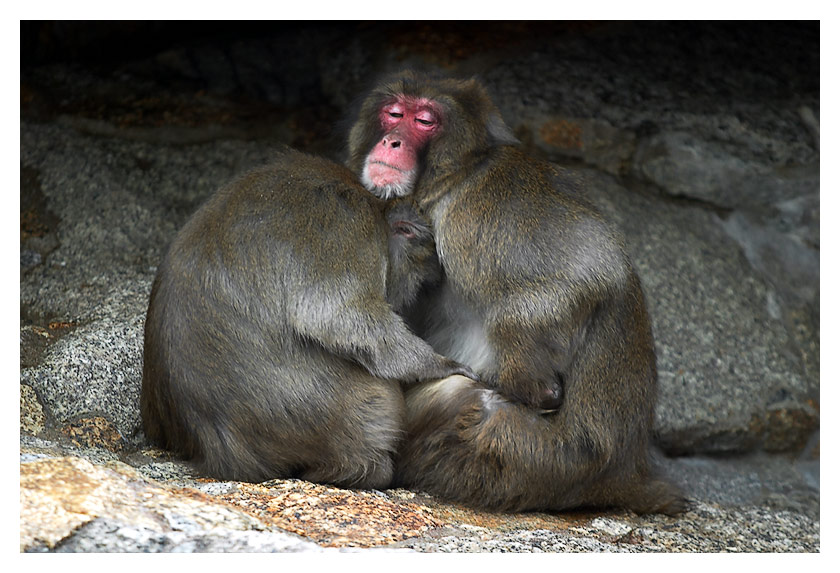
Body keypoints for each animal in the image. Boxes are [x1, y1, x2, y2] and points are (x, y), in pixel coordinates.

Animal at [139, 146, 466, 488]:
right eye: (419, 279)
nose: (412, 295)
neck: (375, 210)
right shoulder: (348, 226)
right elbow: (337, 316)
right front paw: (440, 365)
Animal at [344, 71, 684, 512]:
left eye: (424, 121)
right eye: (394, 113)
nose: (392, 141)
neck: (454, 173)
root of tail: (624, 477)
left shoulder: (482, 202)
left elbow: (590, 269)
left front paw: (535, 386)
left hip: (528, 462)